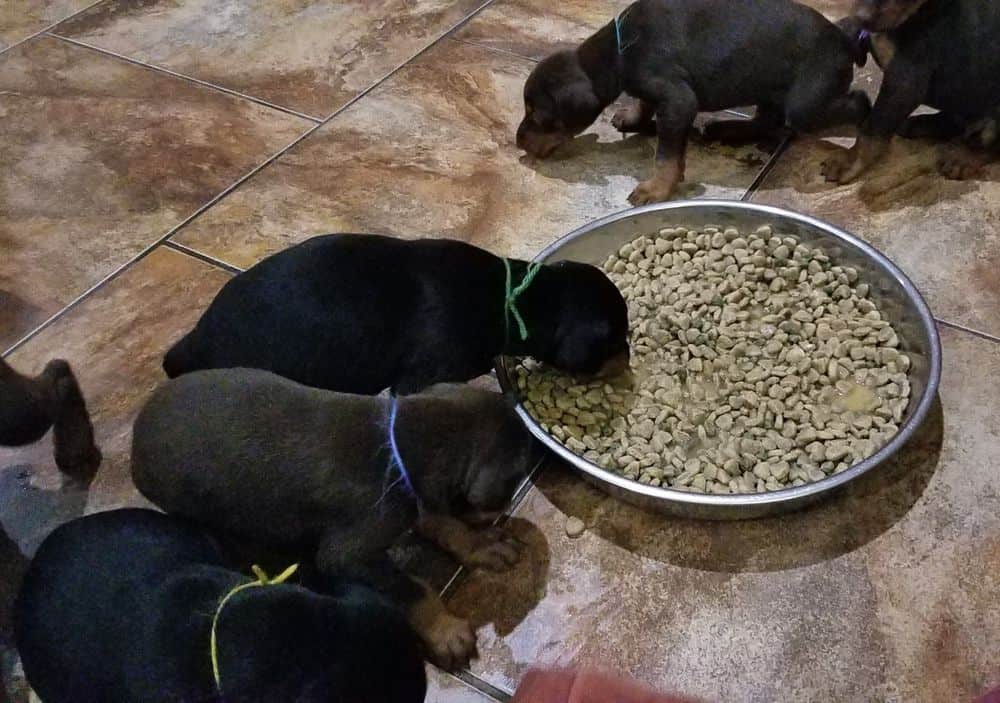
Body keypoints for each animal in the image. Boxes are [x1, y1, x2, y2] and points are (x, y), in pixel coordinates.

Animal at [134, 368, 544, 672]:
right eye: (512, 483)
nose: (502, 512)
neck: (398, 442)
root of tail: (134, 446)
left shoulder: (411, 495)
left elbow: (441, 521)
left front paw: (481, 545)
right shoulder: (350, 552)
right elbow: (408, 586)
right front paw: (445, 632)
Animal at [516, 0, 868, 205]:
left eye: (537, 113)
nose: (518, 142)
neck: (619, 51)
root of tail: (844, 39)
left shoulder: (677, 99)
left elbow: (666, 155)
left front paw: (657, 188)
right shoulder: (658, 91)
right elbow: (645, 103)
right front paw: (632, 118)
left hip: (806, 103)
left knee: (859, 103)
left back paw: (857, 154)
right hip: (767, 85)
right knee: (767, 120)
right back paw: (727, 129)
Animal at [820, 0, 1000, 184]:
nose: (862, 17)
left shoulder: (905, 82)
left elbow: (872, 128)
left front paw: (849, 161)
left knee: (989, 144)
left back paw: (963, 158)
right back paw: (919, 124)